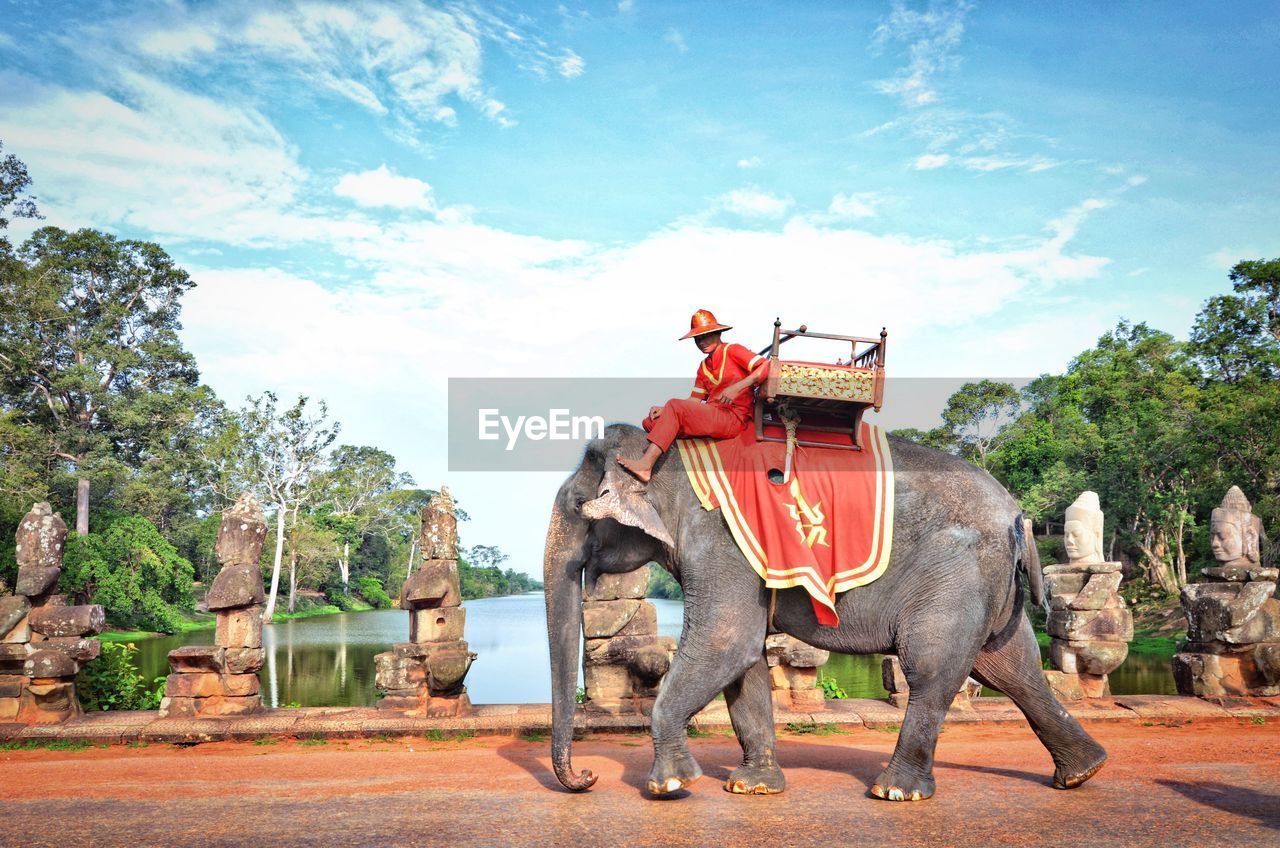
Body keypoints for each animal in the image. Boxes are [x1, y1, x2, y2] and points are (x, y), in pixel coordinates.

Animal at [542, 425, 1111, 804]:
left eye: (579, 506)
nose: (587, 779)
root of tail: (1018, 513)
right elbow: (744, 661)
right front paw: (752, 788)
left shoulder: (720, 540)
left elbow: (725, 641)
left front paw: (672, 786)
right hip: (992, 589)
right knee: (1013, 668)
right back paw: (1082, 773)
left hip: (956, 577)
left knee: (932, 668)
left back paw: (895, 792)